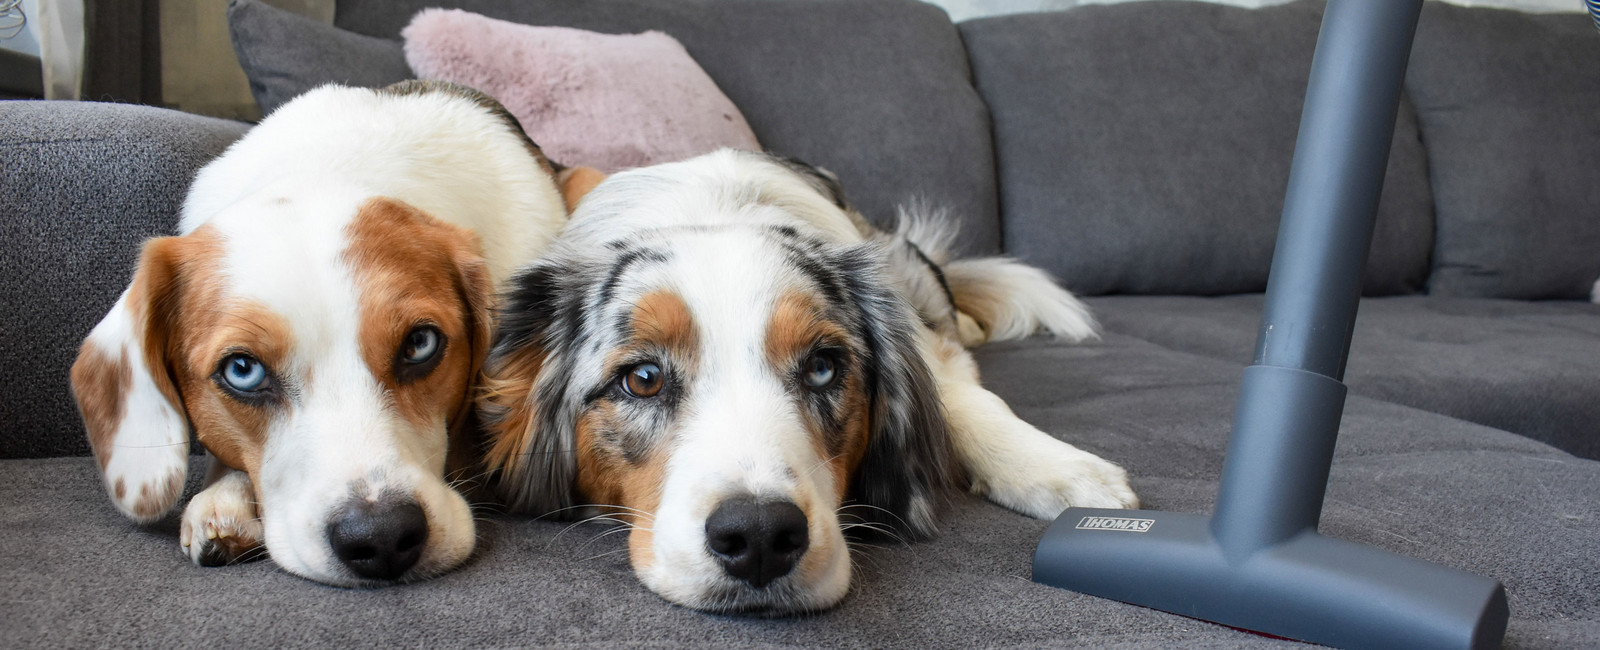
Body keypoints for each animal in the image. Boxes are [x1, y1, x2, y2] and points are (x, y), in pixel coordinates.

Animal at [476, 151, 1139, 614]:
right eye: (641, 378)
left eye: (823, 366)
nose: (760, 536)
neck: (711, 208)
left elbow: (964, 395)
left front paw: (1059, 469)